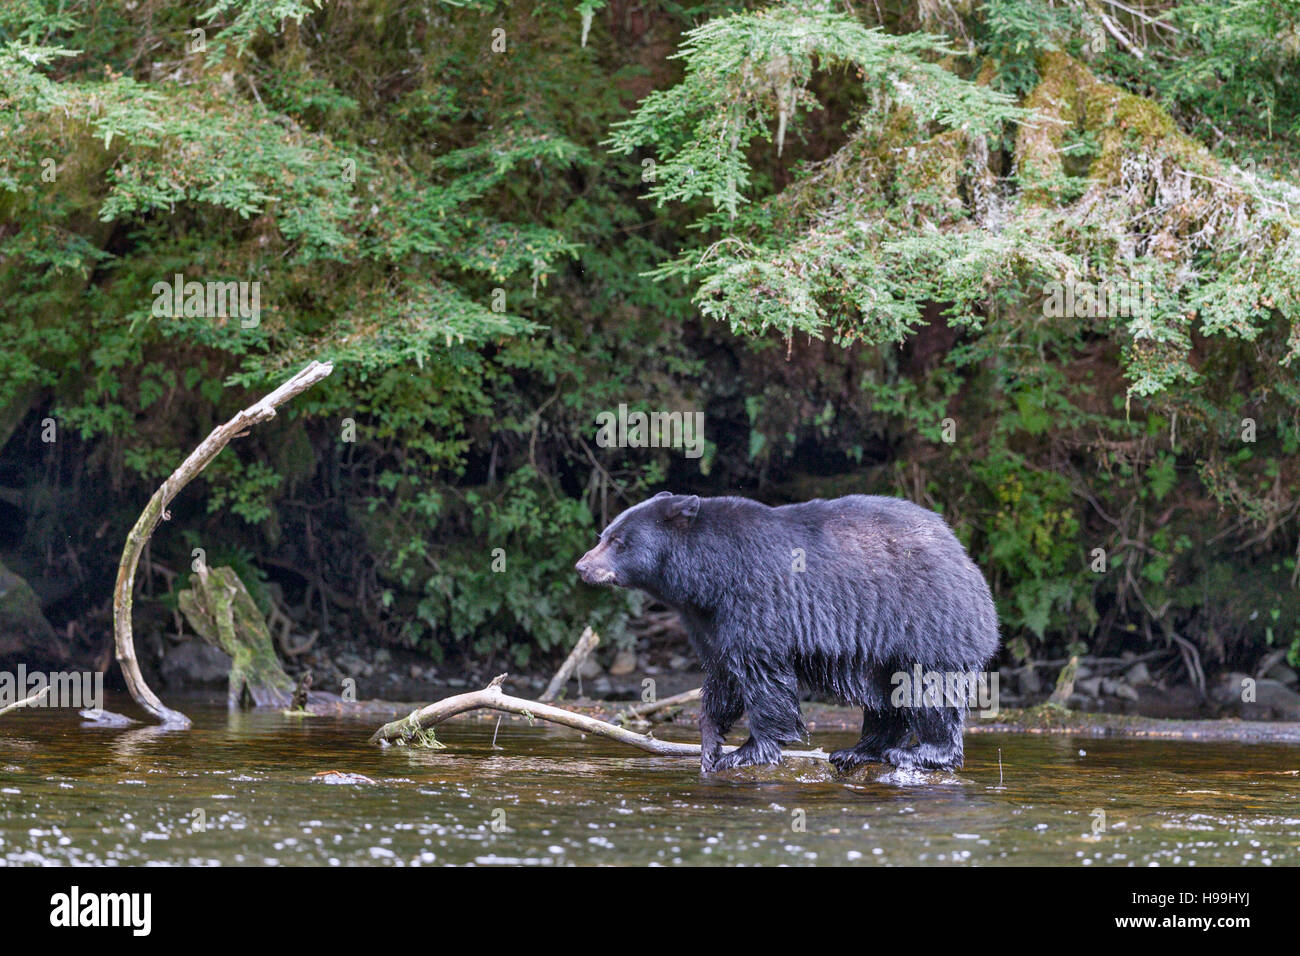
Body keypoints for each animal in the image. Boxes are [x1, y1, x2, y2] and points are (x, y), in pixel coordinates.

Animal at [577, 494, 993, 770]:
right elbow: (723, 674)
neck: (706, 577)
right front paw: (710, 744)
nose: (582, 566)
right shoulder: (708, 619)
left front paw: (748, 751)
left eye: (618, 541)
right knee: (886, 695)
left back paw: (925, 752)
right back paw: (858, 751)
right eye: (604, 534)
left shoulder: (755, 598)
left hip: (927, 618)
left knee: (929, 686)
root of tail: (964, 555)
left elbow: (762, 675)